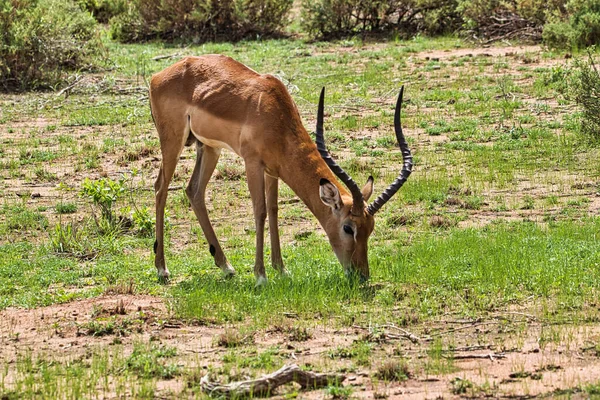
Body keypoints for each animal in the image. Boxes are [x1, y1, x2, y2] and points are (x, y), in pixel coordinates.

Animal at [150, 54, 412, 284]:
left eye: (370, 228)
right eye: (348, 228)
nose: (361, 274)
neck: (273, 112)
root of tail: (158, 76)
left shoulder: (272, 171)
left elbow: (274, 210)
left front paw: (281, 269)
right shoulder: (252, 163)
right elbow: (260, 212)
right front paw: (261, 276)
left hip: (208, 147)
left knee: (194, 190)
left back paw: (226, 267)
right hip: (173, 141)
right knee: (160, 188)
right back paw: (162, 269)